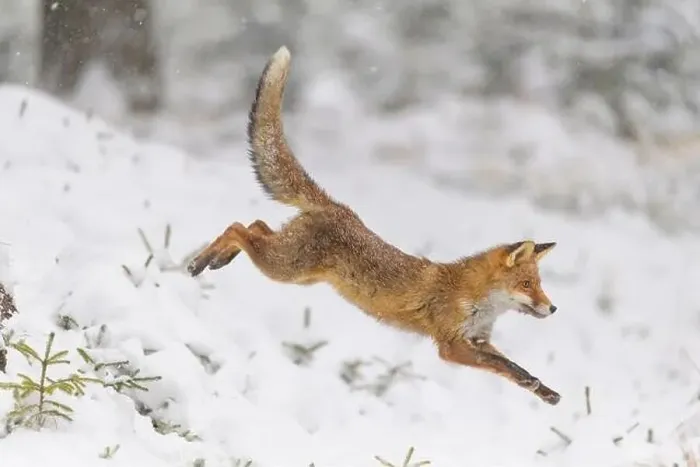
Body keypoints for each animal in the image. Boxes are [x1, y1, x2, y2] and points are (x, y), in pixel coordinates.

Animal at [187, 46, 562, 405]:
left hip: (296, 271)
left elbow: (511, 367)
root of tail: (338, 208)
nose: (553, 307)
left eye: (538, 284)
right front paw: (534, 384)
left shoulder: (478, 340)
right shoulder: (450, 344)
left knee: (257, 225)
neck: (475, 300)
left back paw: (218, 258)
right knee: (238, 227)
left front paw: (544, 391)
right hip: (283, 268)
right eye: (527, 284)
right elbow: (500, 365)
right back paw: (201, 262)